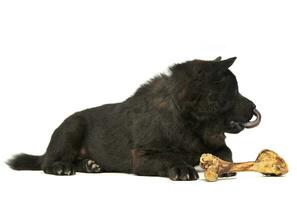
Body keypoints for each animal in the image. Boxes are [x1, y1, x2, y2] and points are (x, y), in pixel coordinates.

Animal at [7, 57, 260, 180]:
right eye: (234, 90)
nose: (255, 107)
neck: (186, 121)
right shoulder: (143, 156)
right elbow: (169, 157)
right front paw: (182, 168)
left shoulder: (218, 145)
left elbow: (226, 153)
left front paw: (223, 166)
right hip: (72, 127)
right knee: (47, 163)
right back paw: (62, 167)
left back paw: (89, 165)